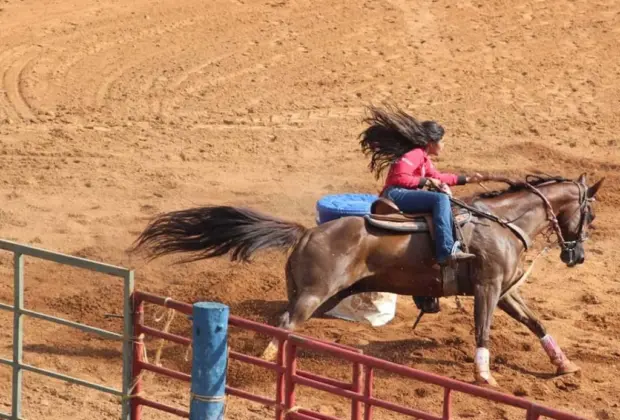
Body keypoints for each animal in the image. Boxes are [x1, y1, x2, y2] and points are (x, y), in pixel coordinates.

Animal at [132, 172, 604, 386]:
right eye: (591, 214)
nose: (577, 255)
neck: (502, 223)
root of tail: (307, 232)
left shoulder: (504, 291)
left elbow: (536, 322)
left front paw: (564, 365)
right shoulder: (487, 290)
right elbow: (482, 331)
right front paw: (485, 377)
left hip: (320, 296)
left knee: (282, 322)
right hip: (315, 295)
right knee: (284, 324)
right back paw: (264, 367)